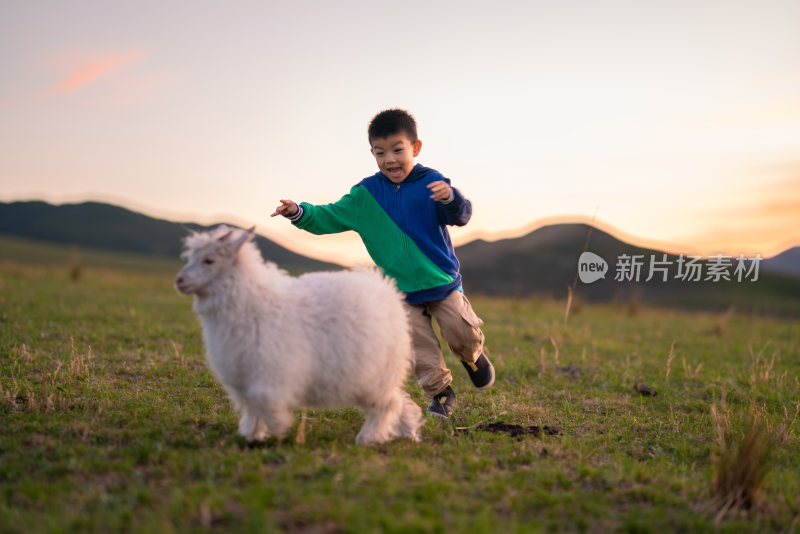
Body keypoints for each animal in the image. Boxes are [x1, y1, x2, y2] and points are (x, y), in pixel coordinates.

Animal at [175, 226, 424, 448]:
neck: (250, 300)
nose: (179, 281)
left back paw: (368, 438)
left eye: (209, 260)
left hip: (374, 377)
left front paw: (279, 426)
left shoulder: (271, 370)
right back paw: (408, 430)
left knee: (388, 405)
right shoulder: (247, 373)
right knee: (398, 400)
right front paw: (253, 434)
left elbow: (261, 399)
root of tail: (385, 289)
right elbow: (253, 406)